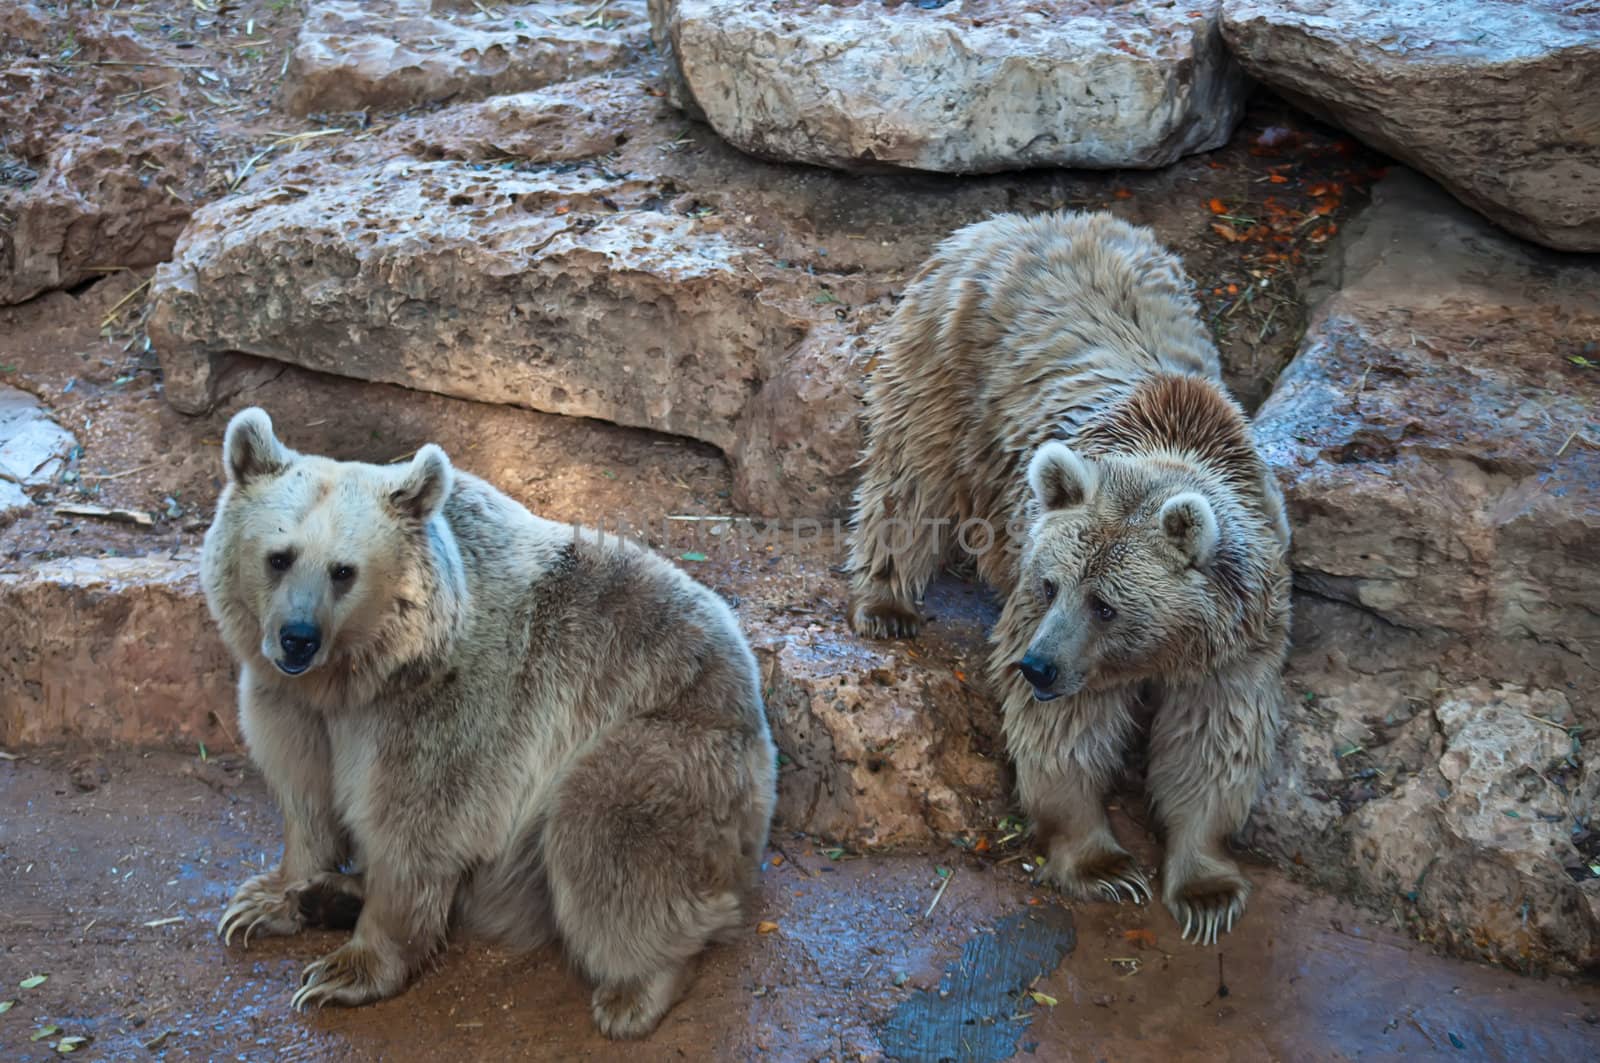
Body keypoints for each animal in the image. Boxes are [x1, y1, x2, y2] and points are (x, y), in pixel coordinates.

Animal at [851, 211, 1286, 941]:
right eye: (1052, 585)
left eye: (1106, 604)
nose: (1039, 666)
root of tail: (1021, 219)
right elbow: (1065, 734)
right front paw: (1104, 864)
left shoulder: (1240, 638)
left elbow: (1214, 739)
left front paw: (1207, 890)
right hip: (951, 358)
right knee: (911, 471)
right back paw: (887, 601)